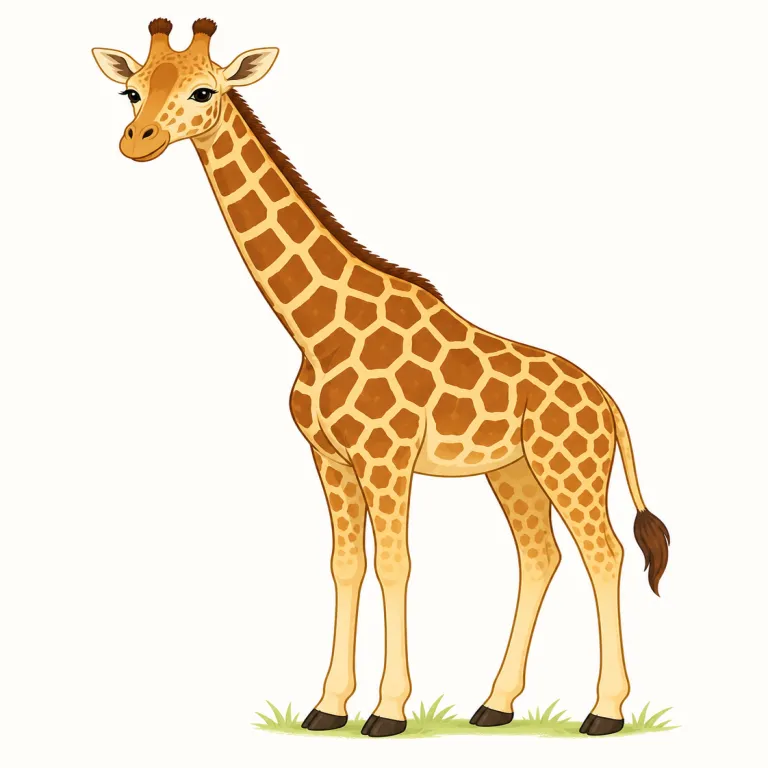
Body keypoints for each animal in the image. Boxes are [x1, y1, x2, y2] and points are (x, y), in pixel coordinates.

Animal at [93, 18, 671, 738]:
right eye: (131, 90)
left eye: (205, 90)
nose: (137, 140)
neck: (313, 331)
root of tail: (608, 401)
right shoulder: (329, 457)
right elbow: (345, 566)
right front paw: (326, 706)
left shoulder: (386, 457)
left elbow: (396, 564)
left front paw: (387, 711)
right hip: (513, 472)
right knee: (541, 556)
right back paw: (495, 704)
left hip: (571, 467)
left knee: (606, 554)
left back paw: (604, 712)